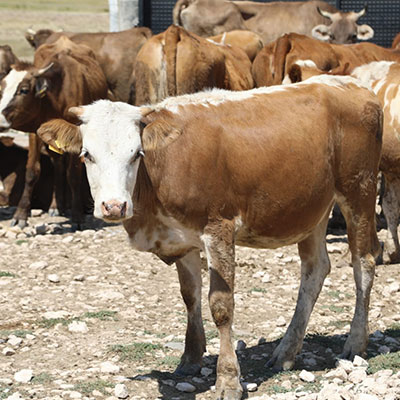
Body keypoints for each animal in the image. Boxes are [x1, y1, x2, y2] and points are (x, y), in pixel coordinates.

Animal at [0, 36, 108, 227]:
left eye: (24, 90)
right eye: (1, 88)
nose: (0, 120)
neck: (57, 95)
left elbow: (73, 174)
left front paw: (77, 216)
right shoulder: (35, 133)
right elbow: (32, 172)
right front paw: (21, 215)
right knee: (58, 165)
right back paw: (56, 206)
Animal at [37, 75, 382, 399]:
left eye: (136, 154)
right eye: (87, 155)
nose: (113, 206)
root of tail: (351, 85)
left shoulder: (218, 229)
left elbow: (220, 304)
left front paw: (228, 378)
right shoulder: (182, 239)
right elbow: (190, 296)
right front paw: (190, 358)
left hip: (359, 191)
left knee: (363, 263)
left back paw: (355, 341)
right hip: (312, 209)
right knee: (315, 270)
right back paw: (287, 350)